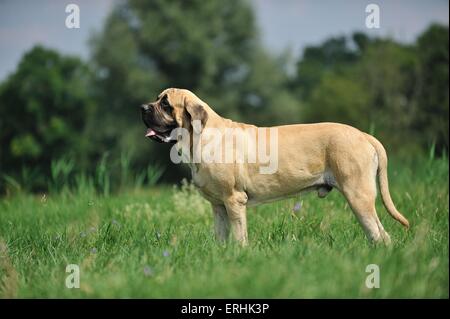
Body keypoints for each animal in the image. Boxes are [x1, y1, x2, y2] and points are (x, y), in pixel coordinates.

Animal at [140, 89, 408, 246]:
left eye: (165, 104)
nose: (143, 107)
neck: (201, 136)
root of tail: (364, 135)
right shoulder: (218, 205)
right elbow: (221, 236)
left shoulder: (234, 200)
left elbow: (240, 236)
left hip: (358, 196)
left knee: (380, 234)